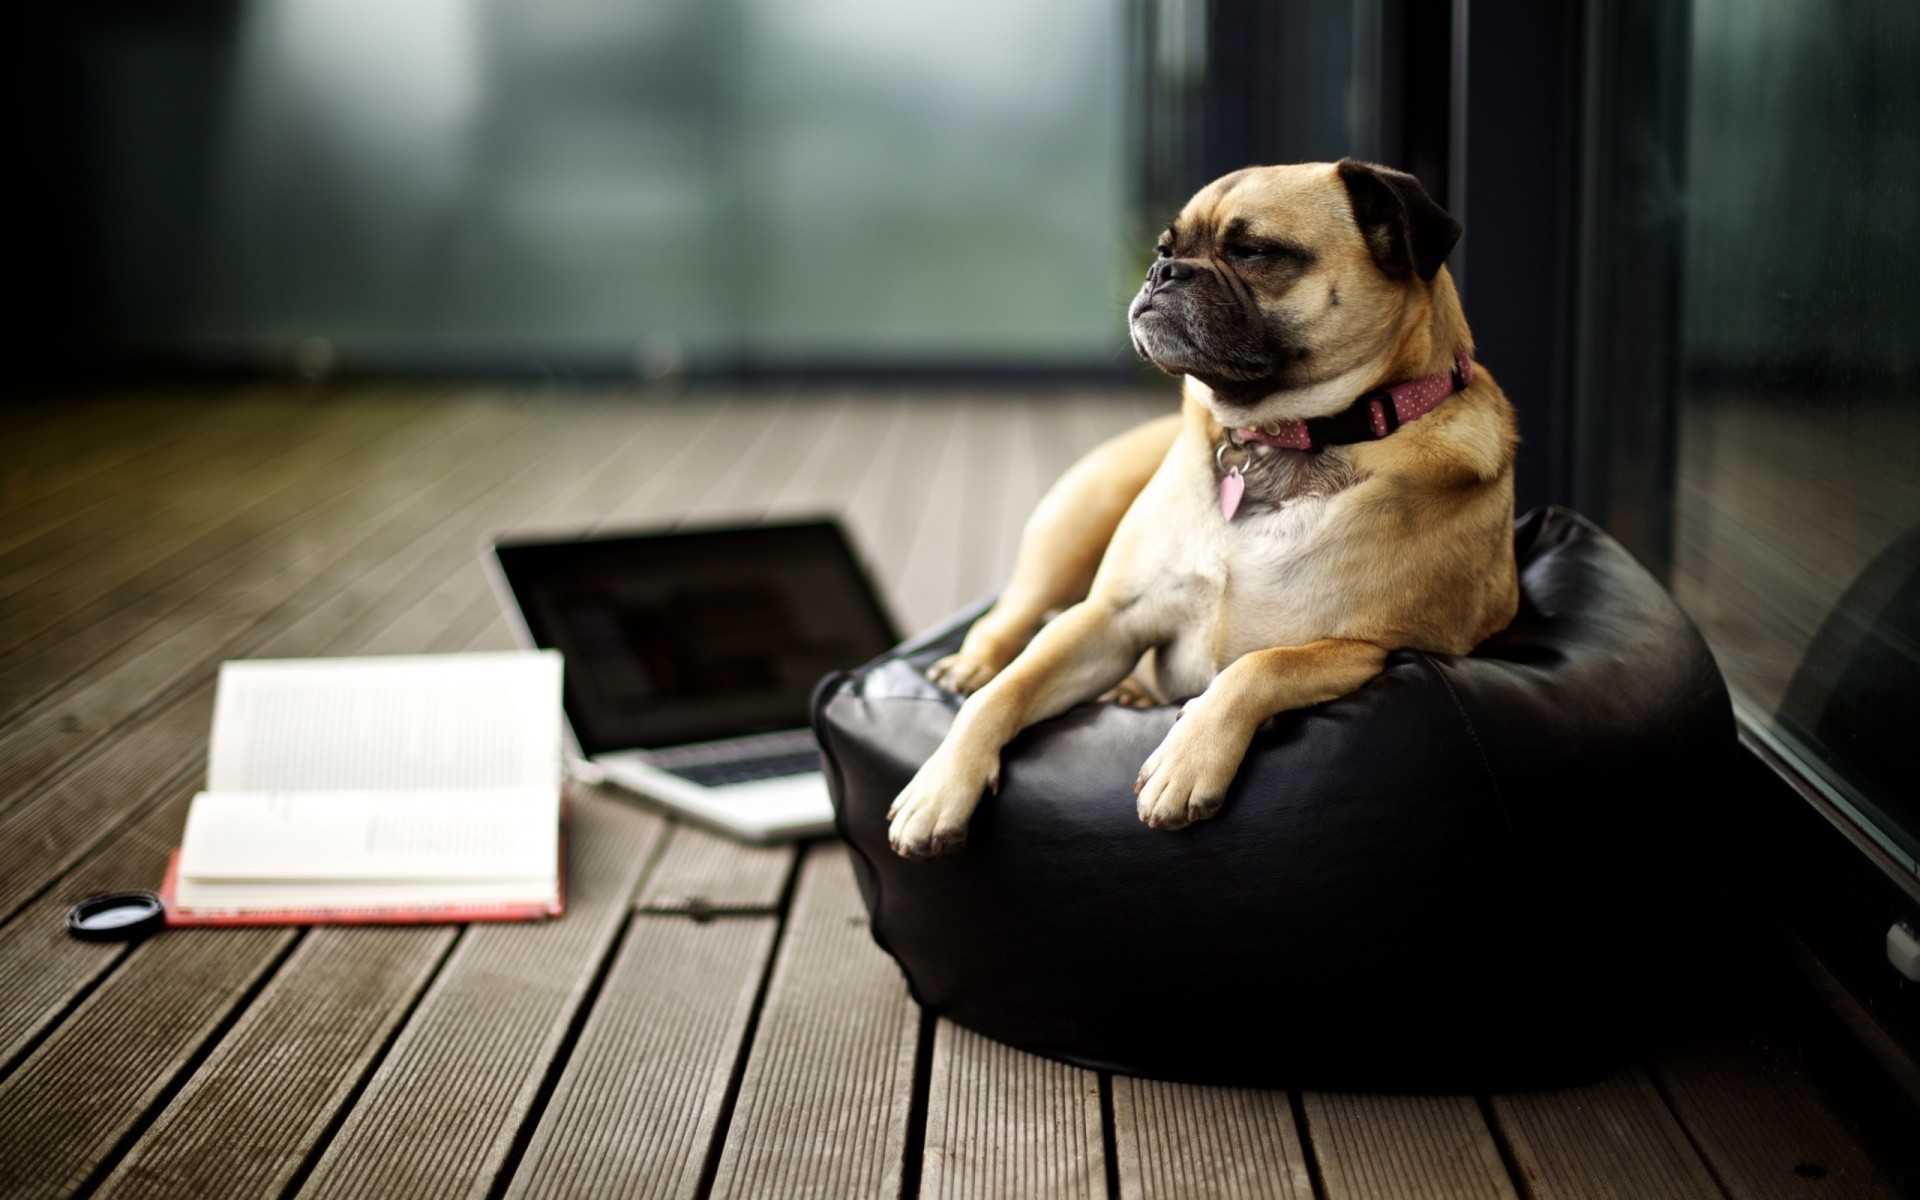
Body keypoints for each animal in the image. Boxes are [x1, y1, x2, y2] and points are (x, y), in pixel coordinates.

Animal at [890, 159, 1520, 856]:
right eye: (1164, 248)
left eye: (1254, 253)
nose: (1162, 272)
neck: (1279, 437)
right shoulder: (1109, 617)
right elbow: (1005, 692)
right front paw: (939, 787)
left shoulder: (1365, 647)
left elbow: (1256, 667)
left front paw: (1185, 761)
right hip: (1072, 529)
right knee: (1010, 617)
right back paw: (971, 664)